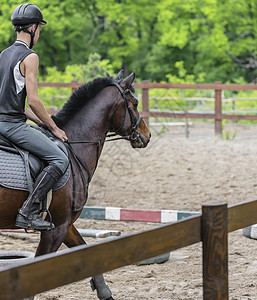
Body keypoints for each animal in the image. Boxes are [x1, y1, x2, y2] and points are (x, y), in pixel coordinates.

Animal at [0, 70, 150, 300]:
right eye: (133, 103)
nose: (146, 135)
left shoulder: (67, 224)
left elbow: (87, 252)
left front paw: (105, 292)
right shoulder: (56, 228)